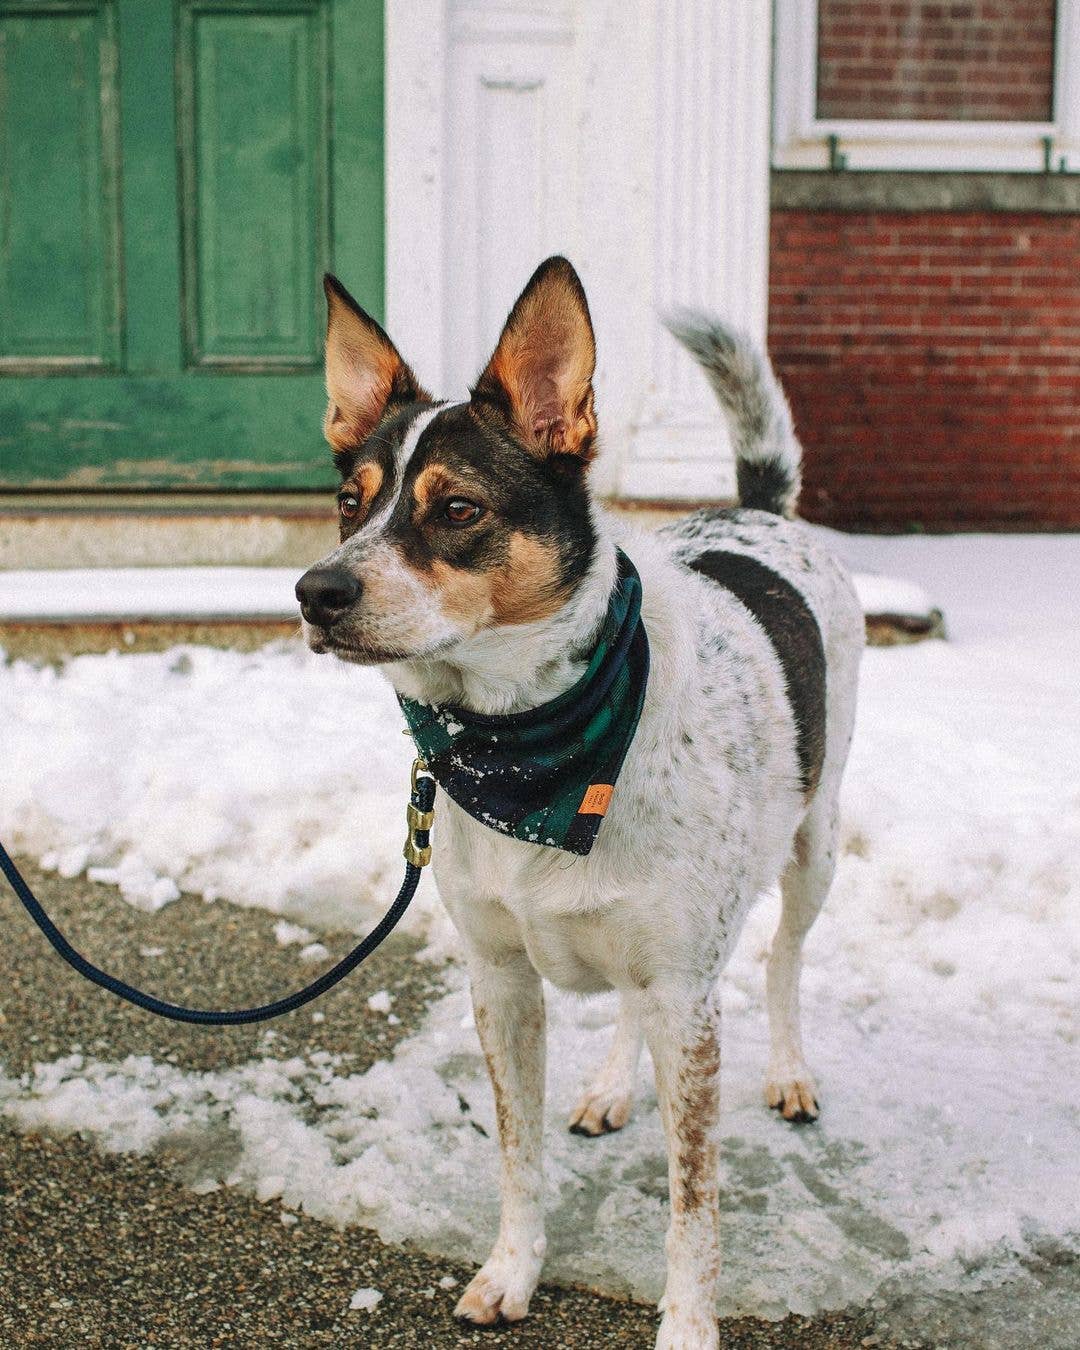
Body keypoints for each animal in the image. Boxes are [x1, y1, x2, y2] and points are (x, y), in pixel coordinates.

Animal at [292, 257, 858, 1344]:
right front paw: (513, 1269)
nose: (315, 593)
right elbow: (518, 1156)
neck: (524, 751)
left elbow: (694, 1200)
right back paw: (608, 1089)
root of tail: (760, 510)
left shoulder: (687, 996)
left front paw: (688, 1326)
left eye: (457, 509)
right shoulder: (503, 980)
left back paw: (795, 1072)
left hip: (815, 847)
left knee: (788, 959)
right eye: (349, 500)